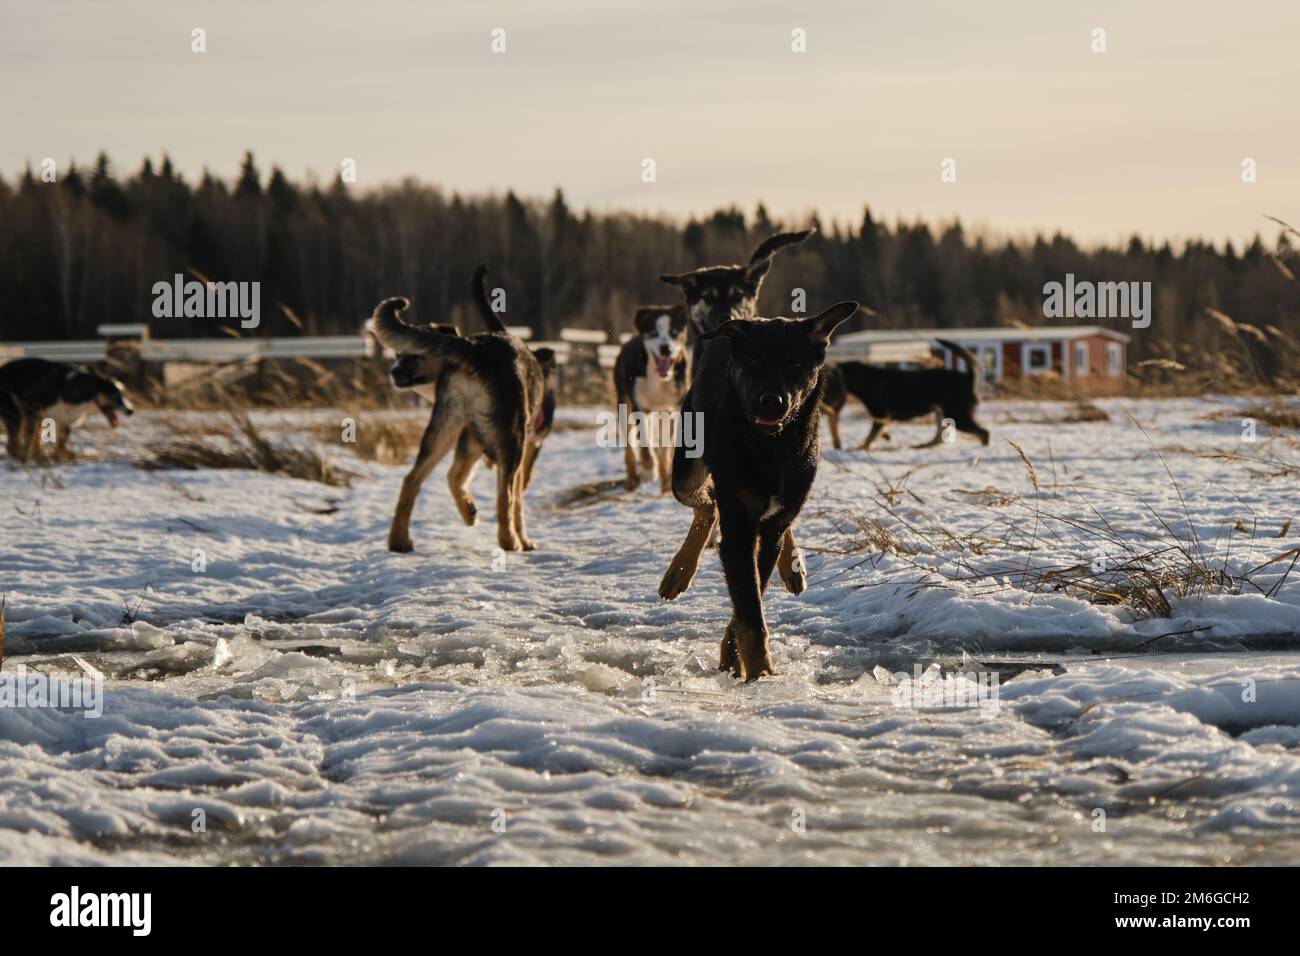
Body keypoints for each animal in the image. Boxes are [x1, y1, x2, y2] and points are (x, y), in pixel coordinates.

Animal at [0, 358, 133, 463]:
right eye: (115, 396)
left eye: (123, 394)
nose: (130, 410)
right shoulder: (31, 409)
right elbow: (29, 438)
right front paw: (28, 458)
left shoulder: (66, 420)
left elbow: (60, 444)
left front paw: (60, 457)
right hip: (16, 415)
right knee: (12, 445)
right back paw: (21, 456)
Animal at [611, 304, 691, 494]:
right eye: (653, 332)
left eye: (674, 331)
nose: (665, 348)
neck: (659, 379)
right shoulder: (640, 407)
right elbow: (645, 445)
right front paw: (648, 472)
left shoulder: (672, 409)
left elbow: (666, 447)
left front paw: (666, 478)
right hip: (624, 402)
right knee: (629, 445)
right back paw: (633, 479)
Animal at [837, 340, 987, 452]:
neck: (865, 379)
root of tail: (967, 377)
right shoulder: (883, 418)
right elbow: (877, 433)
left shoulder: (880, 415)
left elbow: (870, 437)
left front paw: (863, 448)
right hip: (941, 413)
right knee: (938, 438)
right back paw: (922, 446)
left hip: (958, 415)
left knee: (984, 433)